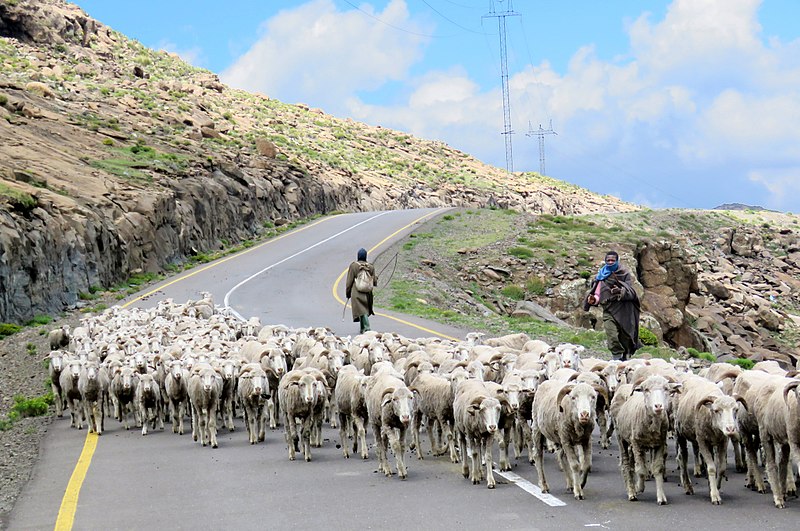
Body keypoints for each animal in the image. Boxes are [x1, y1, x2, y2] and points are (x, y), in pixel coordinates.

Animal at [612, 376, 676, 504]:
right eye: (646, 390)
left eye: (666, 389)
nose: (658, 406)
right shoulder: (637, 443)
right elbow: (641, 469)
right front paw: (639, 488)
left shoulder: (659, 444)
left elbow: (657, 469)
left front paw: (661, 497)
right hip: (622, 438)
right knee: (626, 464)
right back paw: (631, 492)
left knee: (632, 465)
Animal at [676, 374, 744, 508]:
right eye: (716, 410)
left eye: (736, 409)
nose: (730, 429)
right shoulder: (702, 441)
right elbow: (712, 468)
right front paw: (715, 495)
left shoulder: (723, 441)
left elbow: (721, 467)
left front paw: (715, 486)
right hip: (680, 433)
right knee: (683, 458)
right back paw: (688, 486)